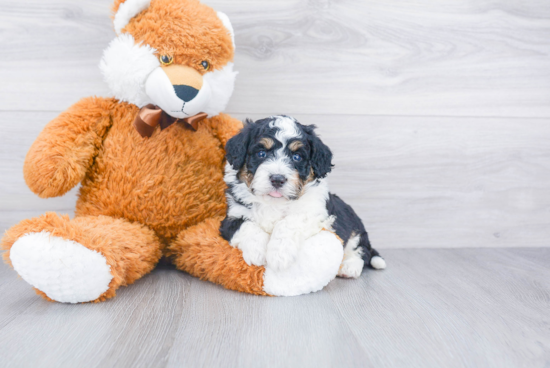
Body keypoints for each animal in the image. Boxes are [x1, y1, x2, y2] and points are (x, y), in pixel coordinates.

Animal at [221, 115, 388, 278]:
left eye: (297, 157)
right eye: (261, 154)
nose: (277, 179)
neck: (275, 202)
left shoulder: (317, 213)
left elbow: (289, 222)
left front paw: (279, 255)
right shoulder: (231, 217)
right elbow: (245, 225)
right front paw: (258, 252)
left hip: (355, 228)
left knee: (361, 250)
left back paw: (350, 267)